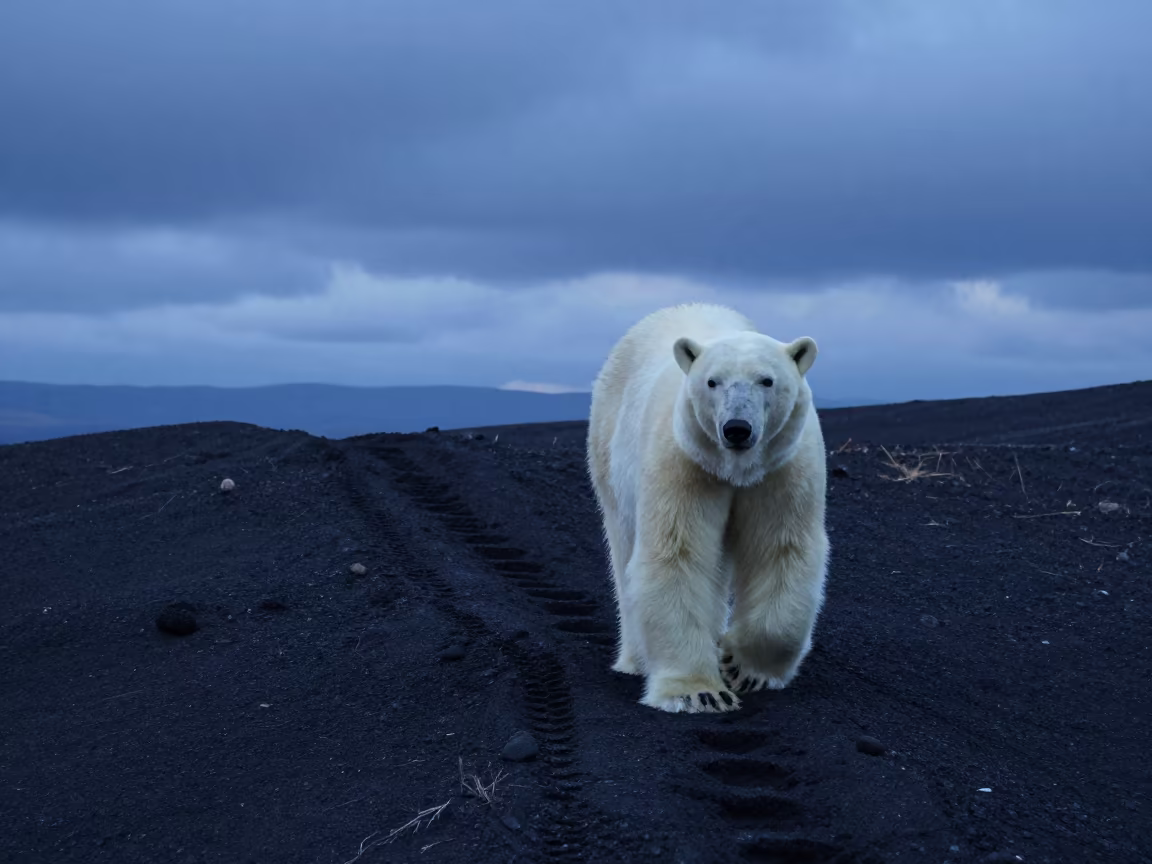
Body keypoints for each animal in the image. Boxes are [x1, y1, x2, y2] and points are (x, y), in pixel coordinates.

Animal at [586, 302, 828, 713]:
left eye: (766, 380)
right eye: (713, 382)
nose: (737, 428)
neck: (736, 469)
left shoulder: (783, 468)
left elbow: (781, 550)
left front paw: (743, 667)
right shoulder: (686, 462)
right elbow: (677, 554)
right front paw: (698, 692)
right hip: (609, 445)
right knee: (624, 545)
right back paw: (636, 659)